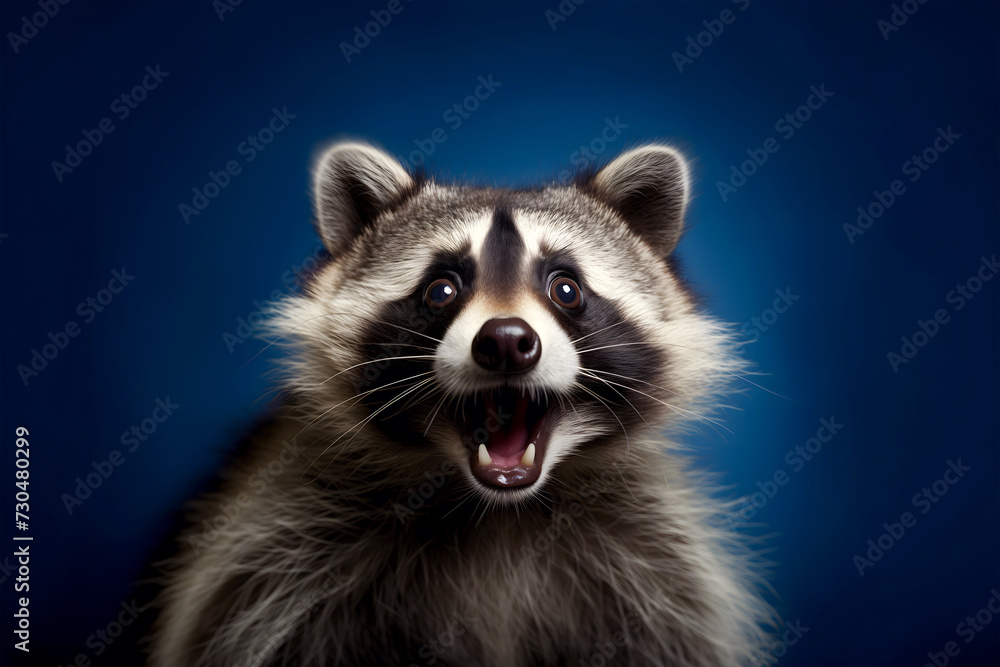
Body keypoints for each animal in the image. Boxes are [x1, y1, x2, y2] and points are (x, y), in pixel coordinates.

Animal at [148, 142, 773, 666]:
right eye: (441, 289)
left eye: (566, 289)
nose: (506, 342)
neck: (495, 512)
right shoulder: (274, 559)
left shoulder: (661, 570)